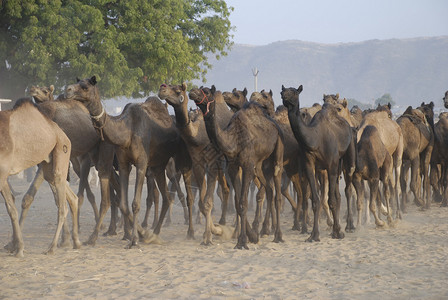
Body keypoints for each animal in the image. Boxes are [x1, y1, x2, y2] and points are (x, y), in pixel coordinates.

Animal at [0, 97, 80, 256]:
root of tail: (62, 133)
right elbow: (11, 207)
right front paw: (16, 246)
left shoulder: (2, 172)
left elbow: (11, 209)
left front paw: (19, 248)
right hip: (48, 166)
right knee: (72, 197)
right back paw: (77, 242)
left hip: (61, 151)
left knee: (62, 207)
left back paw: (52, 247)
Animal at [158, 81, 231, 244]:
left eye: (178, 90)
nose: (161, 90)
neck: (198, 137)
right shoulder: (193, 164)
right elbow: (195, 200)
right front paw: (192, 232)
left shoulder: (212, 163)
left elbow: (207, 201)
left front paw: (209, 235)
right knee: (223, 190)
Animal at [189, 85, 284, 248]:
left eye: (206, 91)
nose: (192, 92)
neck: (233, 139)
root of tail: (275, 126)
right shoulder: (233, 167)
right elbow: (238, 201)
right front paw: (252, 236)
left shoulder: (247, 165)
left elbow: (242, 202)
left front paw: (242, 241)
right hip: (259, 165)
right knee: (269, 190)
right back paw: (264, 230)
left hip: (277, 152)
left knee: (277, 191)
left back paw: (278, 235)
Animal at [282, 84, 356, 241]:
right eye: (282, 91)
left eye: (294, 92)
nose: (285, 98)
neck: (315, 140)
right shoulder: (310, 166)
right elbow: (316, 200)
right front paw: (314, 235)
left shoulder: (331, 165)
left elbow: (331, 200)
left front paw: (337, 232)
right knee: (338, 195)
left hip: (346, 161)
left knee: (347, 189)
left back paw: (349, 226)